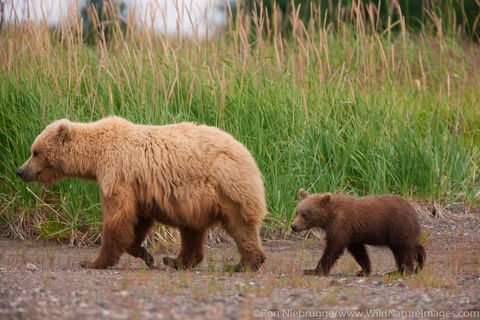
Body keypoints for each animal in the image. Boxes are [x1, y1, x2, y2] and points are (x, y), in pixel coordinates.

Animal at [15, 116, 266, 272]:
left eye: (35, 152)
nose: (20, 171)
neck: (94, 158)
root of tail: (246, 152)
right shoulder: (139, 189)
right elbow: (137, 220)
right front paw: (146, 254)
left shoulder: (116, 172)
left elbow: (119, 216)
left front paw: (93, 262)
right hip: (192, 202)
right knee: (192, 231)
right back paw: (175, 260)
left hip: (225, 189)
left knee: (240, 226)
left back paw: (244, 264)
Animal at [290, 189, 426, 276]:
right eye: (297, 212)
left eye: (305, 214)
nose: (293, 226)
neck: (330, 217)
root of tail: (414, 211)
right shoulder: (352, 234)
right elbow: (359, 252)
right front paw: (364, 270)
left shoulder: (342, 224)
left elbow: (334, 247)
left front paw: (313, 270)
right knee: (412, 246)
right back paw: (418, 264)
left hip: (398, 227)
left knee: (403, 250)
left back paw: (402, 271)